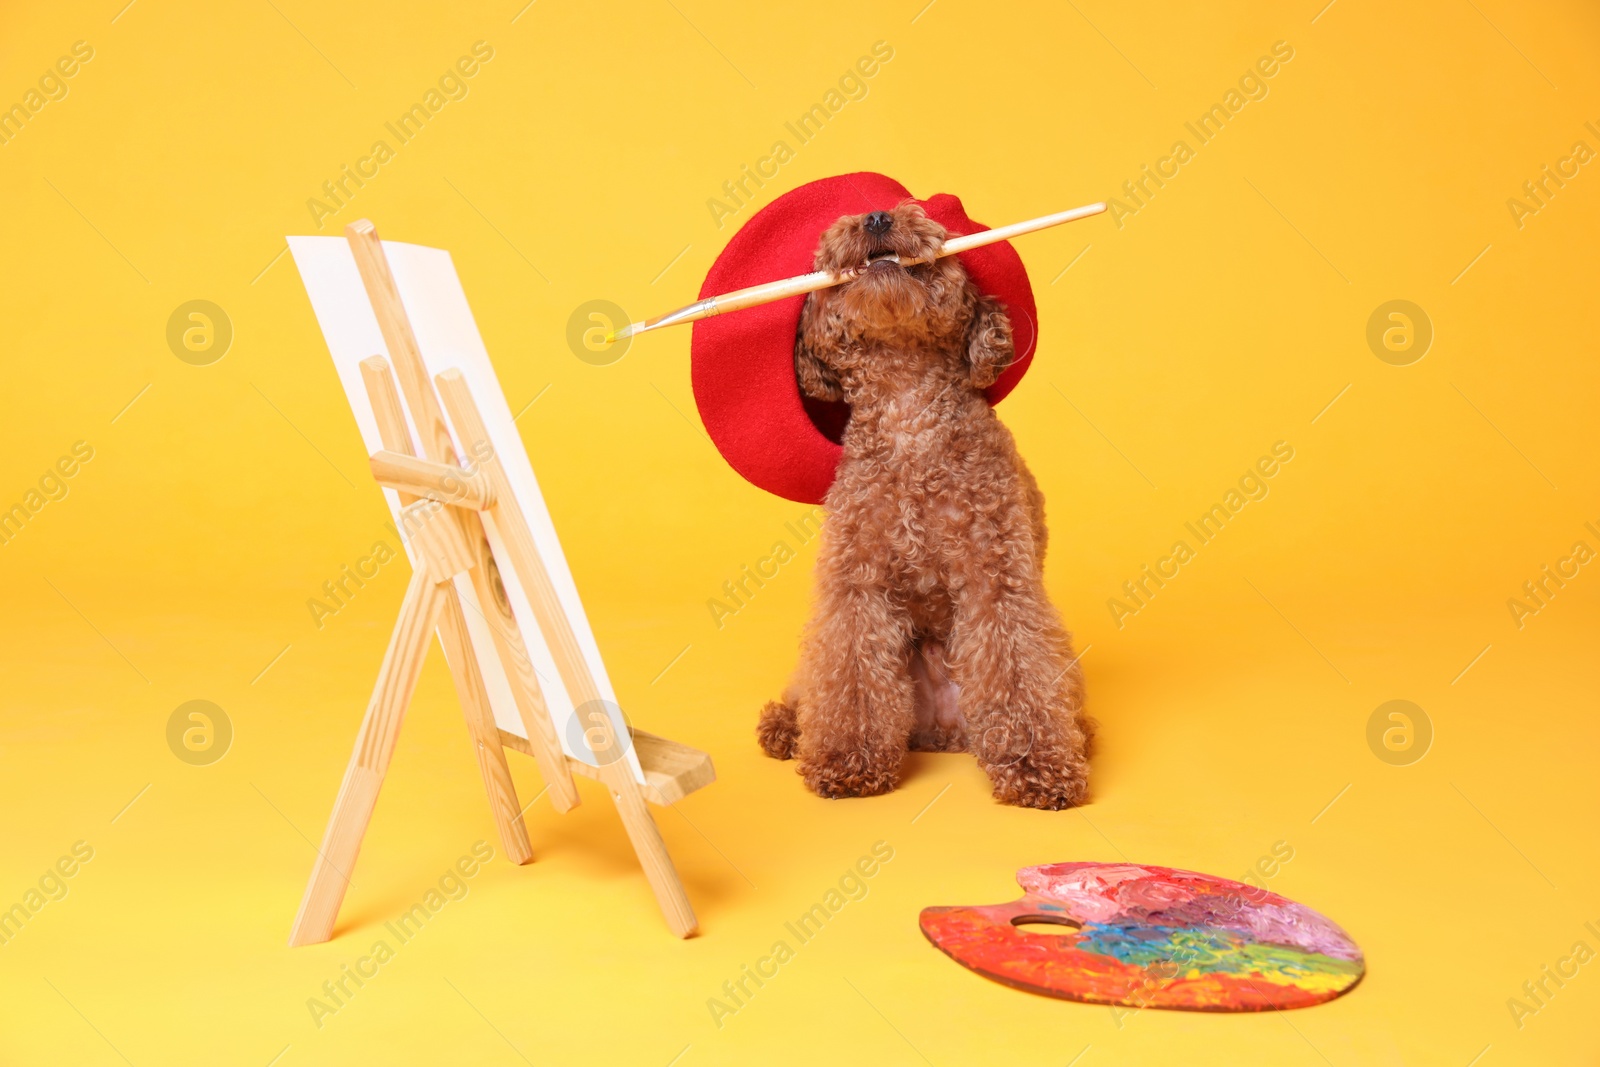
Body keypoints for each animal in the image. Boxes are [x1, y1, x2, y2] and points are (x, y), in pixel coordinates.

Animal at [755, 199, 1094, 809]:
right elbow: (848, 673)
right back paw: (788, 725)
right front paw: (847, 760)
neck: (908, 410)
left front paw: (1040, 769)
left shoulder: (998, 578)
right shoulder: (856, 583)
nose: (876, 217)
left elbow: (1019, 671)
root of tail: (938, 731)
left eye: (925, 222)